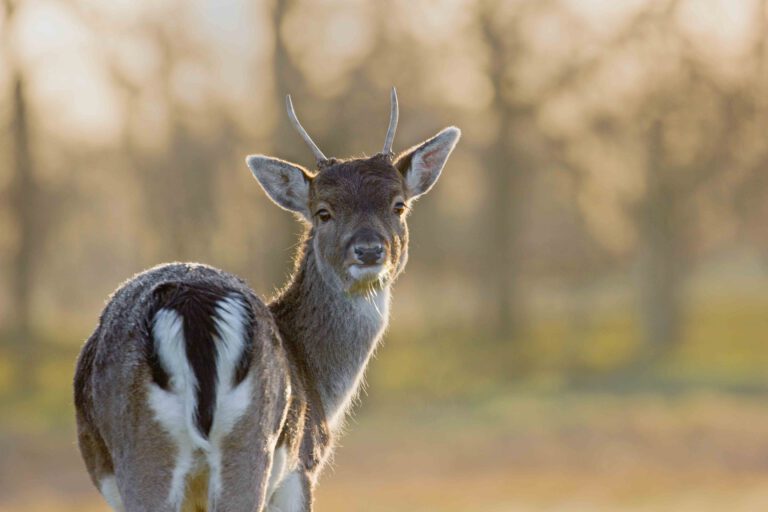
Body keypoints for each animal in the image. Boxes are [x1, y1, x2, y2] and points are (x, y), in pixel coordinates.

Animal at [73, 89, 456, 512]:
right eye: (323, 212)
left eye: (398, 205)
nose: (370, 250)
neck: (320, 389)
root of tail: (193, 309)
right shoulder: (301, 466)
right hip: (240, 442)